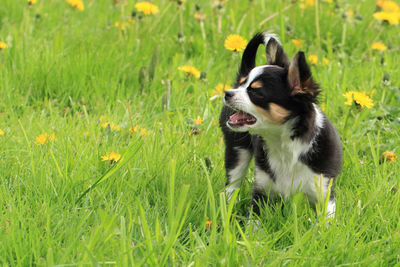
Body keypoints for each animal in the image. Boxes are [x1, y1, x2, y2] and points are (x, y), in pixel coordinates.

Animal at [220, 33, 342, 218]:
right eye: (242, 84)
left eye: (256, 92)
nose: (227, 93)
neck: (282, 143)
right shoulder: (261, 190)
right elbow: (254, 221)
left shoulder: (323, 194)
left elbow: (325, 221)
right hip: (237, 149)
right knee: (233, 182)